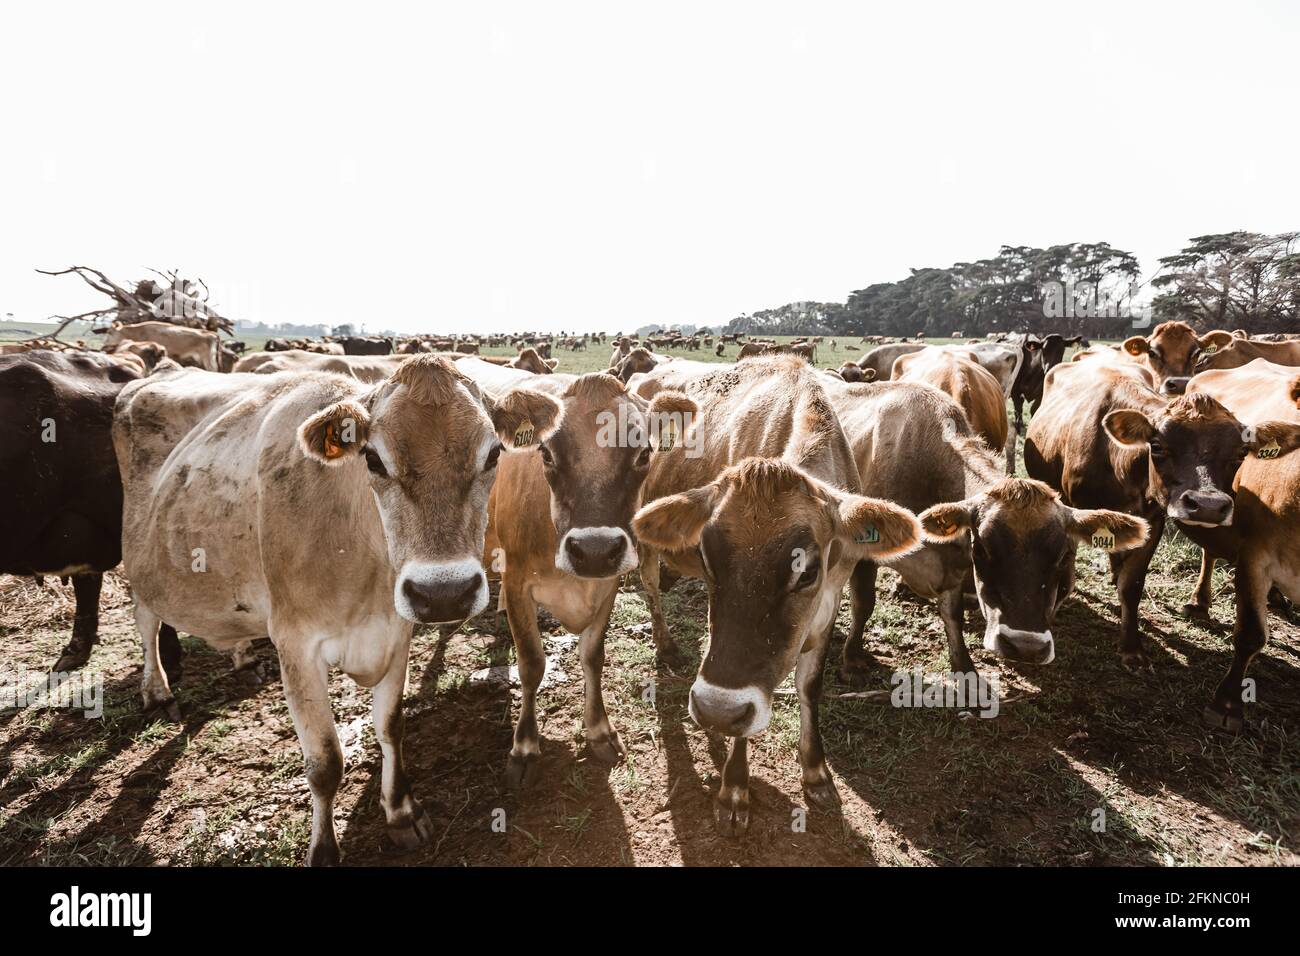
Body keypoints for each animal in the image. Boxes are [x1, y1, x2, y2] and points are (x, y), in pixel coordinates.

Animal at [113, 356, 561, 865]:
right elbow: (325, 762)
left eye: (492, 456)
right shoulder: (295, 645)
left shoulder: (396, 632)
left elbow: (390, 726)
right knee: (146, 621)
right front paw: (324, 848)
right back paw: (158, 692)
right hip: (140, 565)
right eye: (373, 459)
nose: (445, 593)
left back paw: (242, 657)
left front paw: (401, 812)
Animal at [466, 365, 698, 787]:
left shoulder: (607, 583)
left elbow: (593, 656)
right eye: (545, 452)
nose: (593, 550)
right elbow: (531, 664)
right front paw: (525, 746)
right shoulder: (520, 582)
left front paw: (600, 731)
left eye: (644, 453)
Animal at [630, 356, 921, 832]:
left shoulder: (827, 602)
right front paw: (733, 788)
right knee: (652, 588)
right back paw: (667, 645)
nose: (716, 710)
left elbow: (809, 685)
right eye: (707, 558)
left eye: (808, 572)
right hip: (646, 543)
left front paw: (816, 770)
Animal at [825, 378, 1147, 679]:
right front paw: (852, 660)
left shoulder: (953, 567)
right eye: (982, 548)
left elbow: (952, 615)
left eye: (1063, 556)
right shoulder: (866, 553)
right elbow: (864, 603)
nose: (1025, 647)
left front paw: (964, 666)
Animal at [1024, 358, 1277, 668]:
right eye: (1156, 446)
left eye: (1241, 453)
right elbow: (1065, 574)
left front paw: (1131, 648)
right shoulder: (1074, 513)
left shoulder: (1153, 520)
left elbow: (1132, 586)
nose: (1207, 505)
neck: (1120, 466)